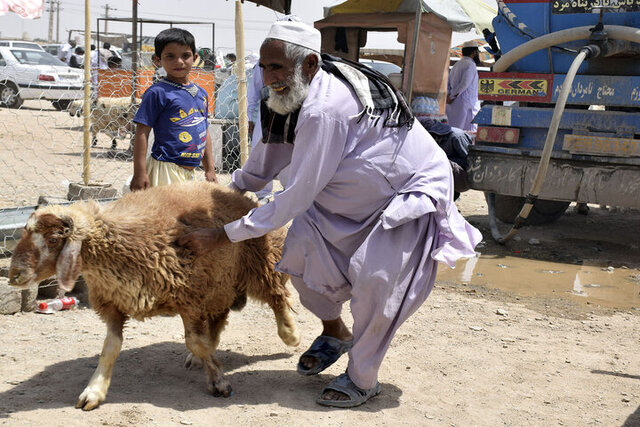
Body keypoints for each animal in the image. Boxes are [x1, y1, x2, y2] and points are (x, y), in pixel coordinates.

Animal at [6, 182, 300, 412]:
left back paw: (290, 334)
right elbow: (110, 347)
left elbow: (195, 342)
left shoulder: (189, 298)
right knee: (219, 319)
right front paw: (94, 390)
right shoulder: (113, 303)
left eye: (54, 240)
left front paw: (219, 381)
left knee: (276, 297)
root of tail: (240, 196)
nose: (13, 276)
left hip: (258, 263)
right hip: (218, 282)